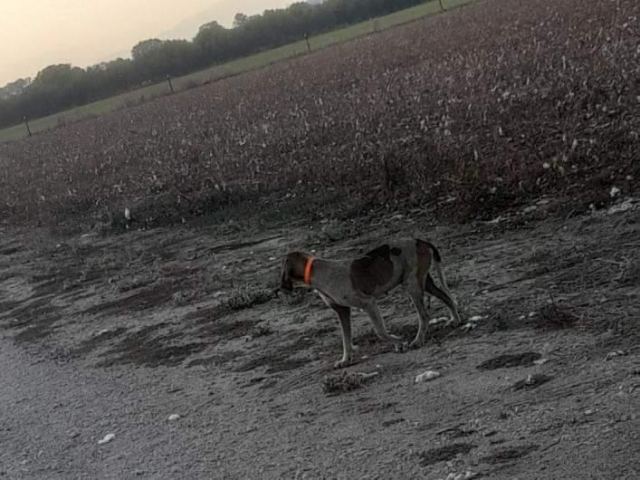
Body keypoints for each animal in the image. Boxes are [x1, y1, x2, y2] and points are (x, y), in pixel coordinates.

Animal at [280, 239, 460, 368]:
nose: (280, 288)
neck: (316, 271)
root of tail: (420, 241)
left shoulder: (369, 304)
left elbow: (380, 332)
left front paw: (399, 343)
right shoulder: (342, 311)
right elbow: (346, 340)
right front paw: (346, 360)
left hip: (412, 285)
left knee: (424, 315)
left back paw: (417, 340)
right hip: (424, 282)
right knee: (447, 298)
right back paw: (455, 320)